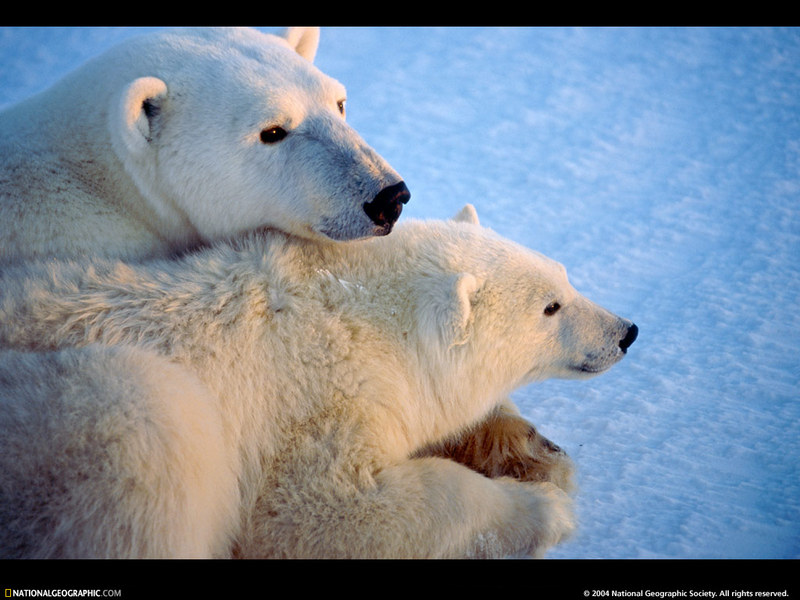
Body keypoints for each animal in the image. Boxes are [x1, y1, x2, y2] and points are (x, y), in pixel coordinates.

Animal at [0, 209, 636, 560]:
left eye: (565, 276)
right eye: (551, 307)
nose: (626, 331)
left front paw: (536, 454)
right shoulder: (309, 403)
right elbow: (318, 513)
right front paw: (545, 510)